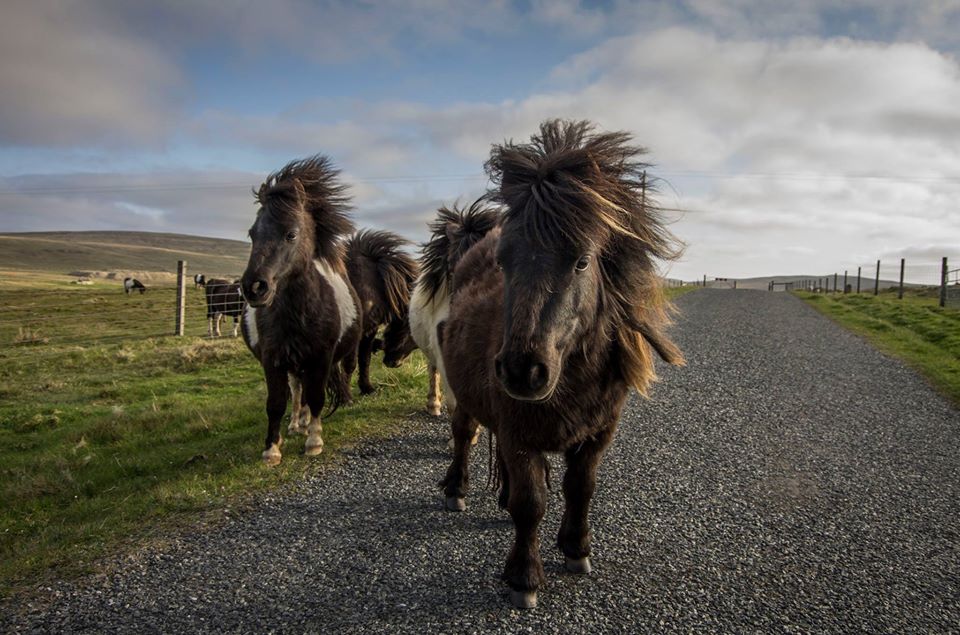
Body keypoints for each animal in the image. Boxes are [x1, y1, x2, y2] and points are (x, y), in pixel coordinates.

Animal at [344, 230, 420, 398]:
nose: (393, 363)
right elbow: (349, 364)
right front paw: (345, 398)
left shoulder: (369, 330)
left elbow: (364, 359)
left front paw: (367, 389)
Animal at [438, 119, 688, 612]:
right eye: (504, 262)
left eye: (582, 261)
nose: (522, 371)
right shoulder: (517, 433)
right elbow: (531, 503)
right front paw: (524, 577)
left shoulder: (598, 434)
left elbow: (580, 487)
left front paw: (576, 549)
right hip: (464, 396)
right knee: (463, 433)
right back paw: (456, 488)